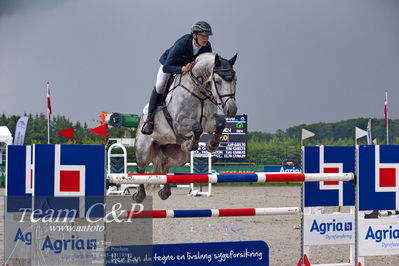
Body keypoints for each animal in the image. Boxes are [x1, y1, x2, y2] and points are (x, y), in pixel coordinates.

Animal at [133, 51, 239, 202]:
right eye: (218, 81)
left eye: (235, 80)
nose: (231, 110)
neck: (199, 92)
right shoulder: (179, 123)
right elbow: (196, 126)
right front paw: (191, 144)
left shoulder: (208, 122)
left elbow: (220, 123)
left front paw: (211, 145)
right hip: (144, 151)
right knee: (141, 168)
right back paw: (139, 195)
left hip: (179, 157)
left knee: (165, 164)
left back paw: (165, 192)